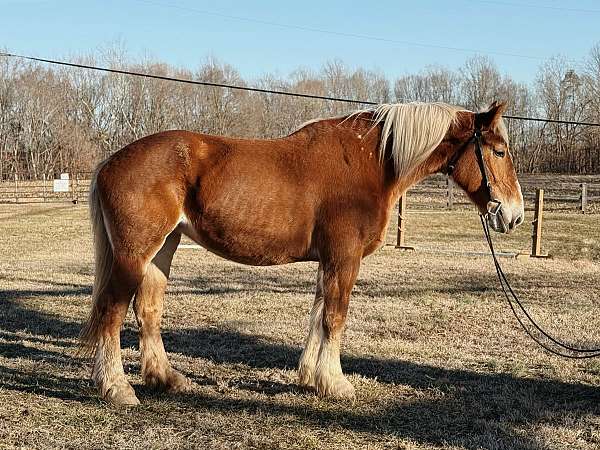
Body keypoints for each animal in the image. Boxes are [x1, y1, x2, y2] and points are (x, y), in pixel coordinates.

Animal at [81, 101, 524, 404]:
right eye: (500, 151)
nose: (514, 215)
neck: (372, 162)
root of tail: (110, 162)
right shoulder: (344, 258)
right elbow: (335, 317)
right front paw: (337, 383)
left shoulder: (329, 261)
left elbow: (318, 316)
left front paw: (312, 377)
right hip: (133, 255)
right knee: (111, 313)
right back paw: (117, 388)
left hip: (163, 250)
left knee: (148, 310)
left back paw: (167, 379)